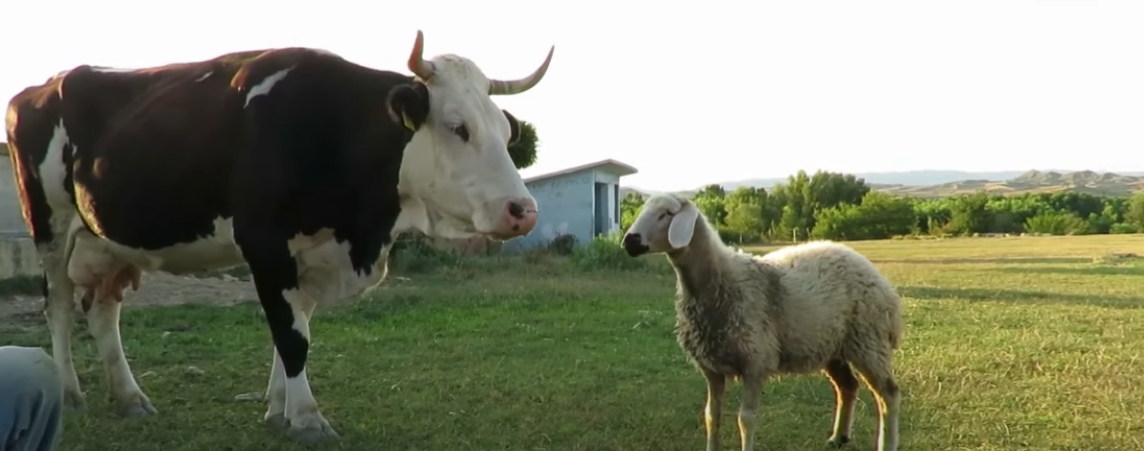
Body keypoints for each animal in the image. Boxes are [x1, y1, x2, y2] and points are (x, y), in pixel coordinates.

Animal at [1, 31, 553, 444]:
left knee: (102, 313)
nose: (523, 212)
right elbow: (290, 335)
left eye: (507, 132)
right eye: (458, 127)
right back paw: (69, 392)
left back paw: (130, 396)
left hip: (108, 240)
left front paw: (280, 407)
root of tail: (40, 88)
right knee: (58, 306)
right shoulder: (264, 243)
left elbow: (298, 324)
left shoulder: (311, 253)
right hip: (51, 228)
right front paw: (306, 417)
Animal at [622, 193, 906, 450]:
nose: (629, 241)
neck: (722, 281)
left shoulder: (755, 361)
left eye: (667, 213)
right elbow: (711, 417)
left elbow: (746, 420)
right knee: (848, 386)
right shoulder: (711, 367)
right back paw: (839, 437)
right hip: (832, 346)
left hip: (869, 341)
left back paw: (887, 443)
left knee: (888, 394)